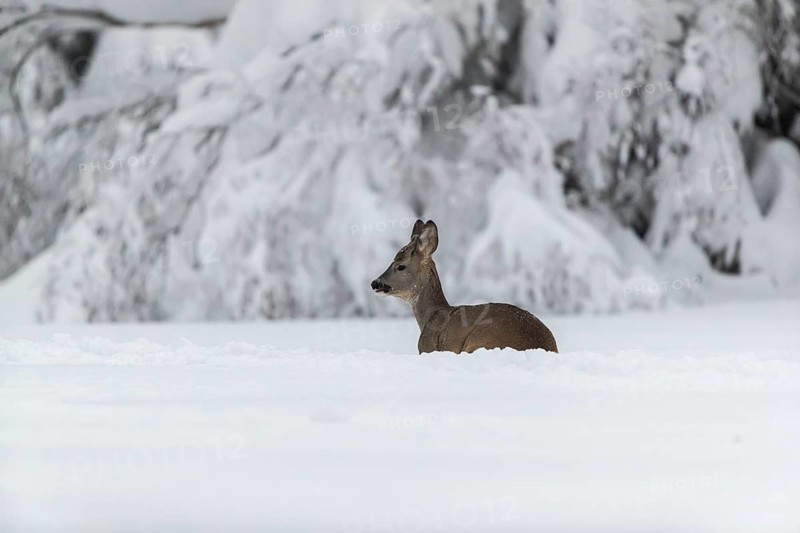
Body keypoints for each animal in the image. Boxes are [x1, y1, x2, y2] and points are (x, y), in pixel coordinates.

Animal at [371, 219, 558, 354]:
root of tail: (547, 346)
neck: (432, 316)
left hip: (480, 340)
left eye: (400, 266)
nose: (375, 283)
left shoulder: (427, 347)